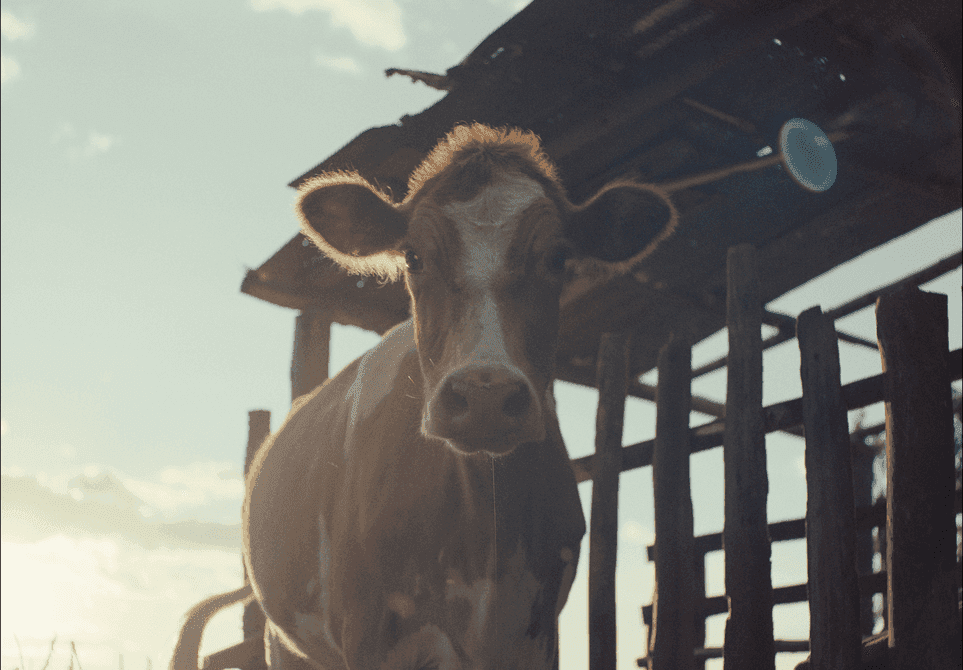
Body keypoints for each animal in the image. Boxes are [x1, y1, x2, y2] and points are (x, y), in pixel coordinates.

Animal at [171, 123, 677, 669]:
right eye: (414, 257)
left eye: (558, 258)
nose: (484, 395)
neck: (483, 530)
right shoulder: (368, 630)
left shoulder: (540, 630)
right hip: (287, 642)